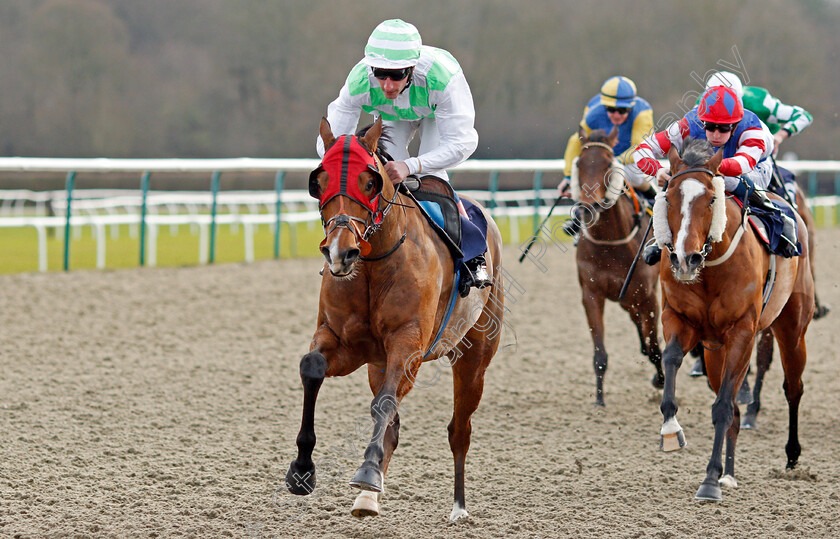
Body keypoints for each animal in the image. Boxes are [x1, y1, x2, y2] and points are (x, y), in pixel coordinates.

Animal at [284, 116, 506, 520]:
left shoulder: (409, 345)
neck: (373, 263)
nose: (340, 251)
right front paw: (302, 469)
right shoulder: (347, 343)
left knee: (459, 430)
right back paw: (366, 499)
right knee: (394, 425)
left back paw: (458, 507)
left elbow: (385, 404)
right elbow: (312, 367)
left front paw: (366, 473)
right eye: (319, 181)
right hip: (379, 363)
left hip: (474, 356)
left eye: (370, 182)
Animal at [576, 127, 668, 404]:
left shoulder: (648, 295)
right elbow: (600, 353)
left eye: (608, 163)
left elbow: (655, 347)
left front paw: (660, 380)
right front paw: (599, 399)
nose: (588, 208)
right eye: (579, 163)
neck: (610, 245)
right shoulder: (591, 294)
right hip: (627, 300)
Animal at [656, 139, 812, 502]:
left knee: (792, 388)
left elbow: (723, 407)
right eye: (668, 197)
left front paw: (709, 481)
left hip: (792, 328)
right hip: (715, 352)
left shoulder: (742, 330)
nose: (684, 259)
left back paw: (791, 456)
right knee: (735, 407)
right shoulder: (679, 318)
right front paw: (671, 429)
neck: (710, 269)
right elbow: (671, 358)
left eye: (711, 199)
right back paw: (729, 472)